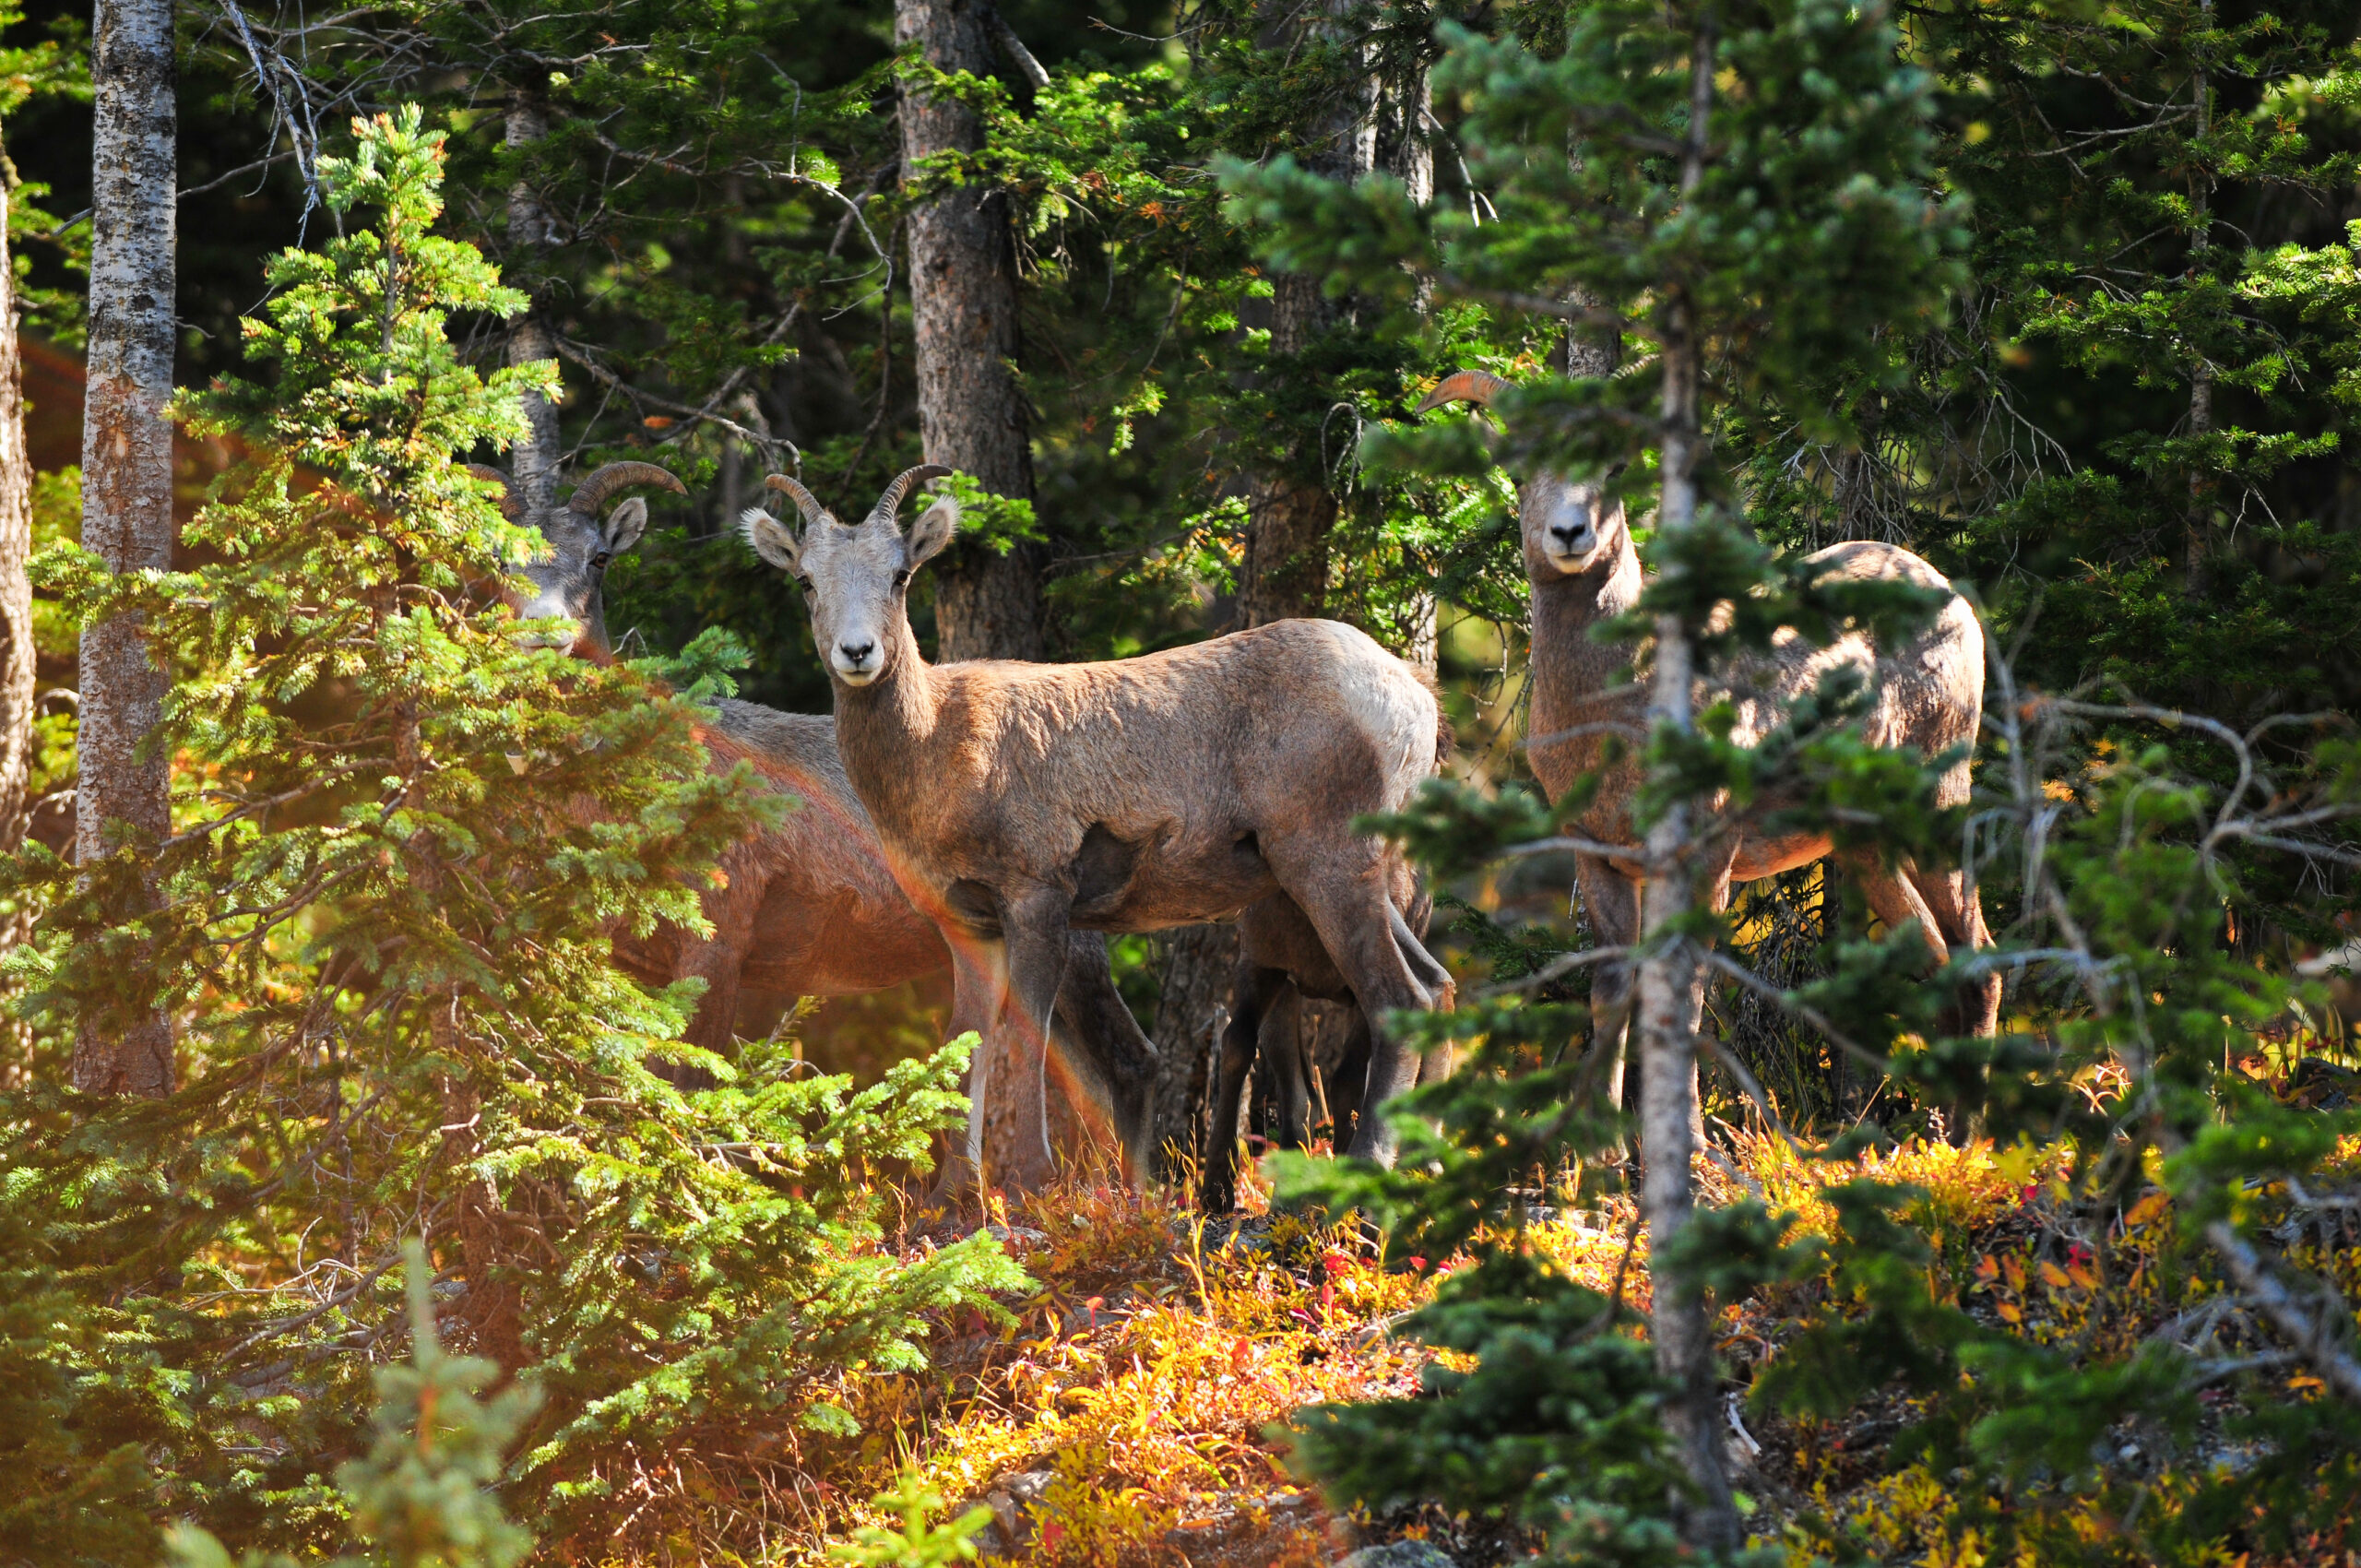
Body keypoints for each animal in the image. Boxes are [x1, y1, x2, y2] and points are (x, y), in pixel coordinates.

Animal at [742, 465, 1454, 1193]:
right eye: (806, 580)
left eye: (900, 574)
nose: (858, 652)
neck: (937, 745)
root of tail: (1416, 698)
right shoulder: (967, 926)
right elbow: (967, 1042)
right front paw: (954, 1196)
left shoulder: (1038, 900)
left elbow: (1025, 1038)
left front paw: (1032, 1179)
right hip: (1354, 882)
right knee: (1434, 985)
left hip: (1328, 865)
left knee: (1396, 997)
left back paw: (1368, 1169)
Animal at [1417, 371, 2000, 1095]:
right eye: (1520, 471)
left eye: (1613, 470)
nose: (1570, 533)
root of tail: (1946, 593)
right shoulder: (1598, 855)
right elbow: (1612, 996)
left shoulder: (1708, 859)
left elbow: (1687, 1000)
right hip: (1867, 845)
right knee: (1940, 963)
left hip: (1935, 800)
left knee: (1980, 964)